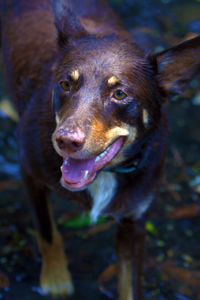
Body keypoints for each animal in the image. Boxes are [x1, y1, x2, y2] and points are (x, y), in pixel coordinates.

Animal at [1, 0, 200, 298]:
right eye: (65, 84)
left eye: (119, 94)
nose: (65, 140)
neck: (106, 174)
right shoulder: (29, 170)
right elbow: (46, 228)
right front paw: (56, 279)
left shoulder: (134, 221)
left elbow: (130, 287)